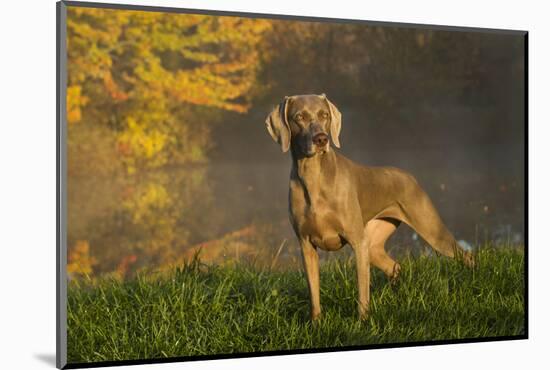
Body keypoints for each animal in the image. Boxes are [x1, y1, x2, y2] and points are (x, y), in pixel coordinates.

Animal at [266, 94, 474, 320]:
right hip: (374, 243)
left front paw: (362, 322)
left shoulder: (358, 242)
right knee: (394, 266)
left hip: (431, 230)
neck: (313, 176)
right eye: (299, 117)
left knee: (466, 255)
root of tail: (409, 175)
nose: (321, 139)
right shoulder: (306, 245)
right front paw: (316, 323)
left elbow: (363, 292)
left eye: (325, 115)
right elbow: (314, 295)